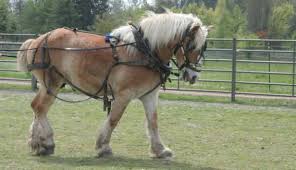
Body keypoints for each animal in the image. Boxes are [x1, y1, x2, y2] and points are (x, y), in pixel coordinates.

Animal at [17, 12, 209, 159]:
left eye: (202, 48)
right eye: (191, 45)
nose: (193, 76)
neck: (144, 51)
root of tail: (39, 39)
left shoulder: (149, 95)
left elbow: (153, 122)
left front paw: (160, 150)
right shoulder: (124, 95)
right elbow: (113, 120)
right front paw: (103, 147)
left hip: (50, 85)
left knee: (37, 108)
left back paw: (37, 143)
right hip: (53, 82)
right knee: (40, 108)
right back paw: (47, 142)